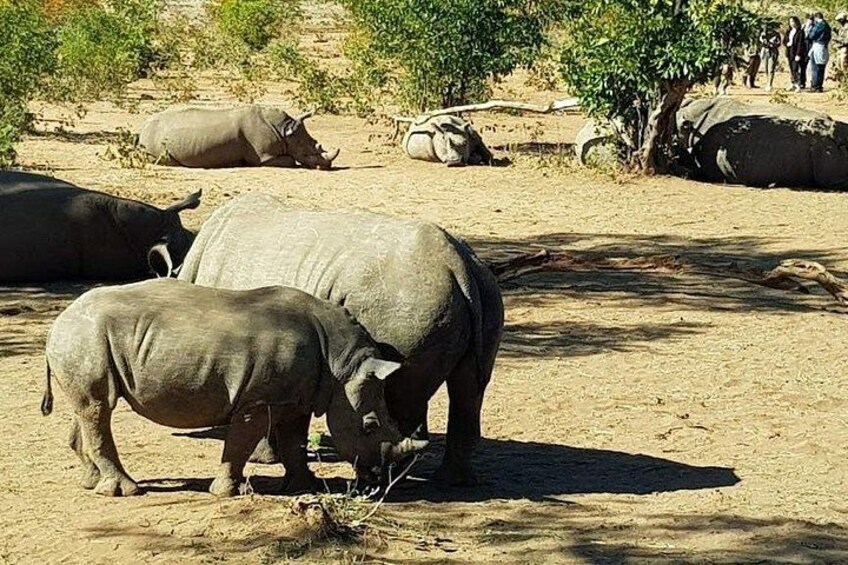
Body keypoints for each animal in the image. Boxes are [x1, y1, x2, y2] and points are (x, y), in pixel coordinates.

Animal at [41, 279, 427, 497]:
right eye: (371, 426)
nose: (380, 481)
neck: (341, 363)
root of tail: (57, 321)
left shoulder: (296, 397)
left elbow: (294, 441)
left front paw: (307, 487)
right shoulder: (259, 398)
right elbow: (242, 442)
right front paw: (228, 492)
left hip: (85, 340)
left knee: (90, 408)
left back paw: (91, 483)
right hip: (84, 337)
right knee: (98, 408)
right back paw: (126, 491)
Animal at [138, 105, 340, 169]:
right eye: (307, 153)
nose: (327, 166)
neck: (285, 130)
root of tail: (142, 130)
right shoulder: (264, 157)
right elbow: (290, 160)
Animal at [178, 194, 503, 485]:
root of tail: (456, 264)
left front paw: (263, 459)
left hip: (405, 306)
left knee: (399, 392)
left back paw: (387, 482)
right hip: (484, 292)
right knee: (468, 389)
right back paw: (452, 481)